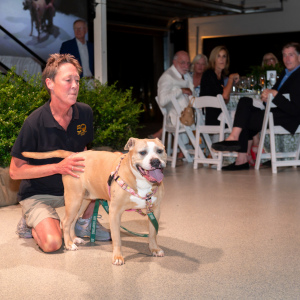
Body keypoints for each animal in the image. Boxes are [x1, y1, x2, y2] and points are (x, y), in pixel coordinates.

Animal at [21, 138, 166, 264]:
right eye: (142, 152)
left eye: (160, 151)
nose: (155, 161)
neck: (142, 181)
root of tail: (74, 155)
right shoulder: (115, 212)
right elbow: (116, 238)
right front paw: (118, 257)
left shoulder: (155, 210)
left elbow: (153, 233)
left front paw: (154, 249)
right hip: (73, 199)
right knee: (65, 221)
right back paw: (69, 244)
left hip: (83, 200)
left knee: (73, 220)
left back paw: (74, 238)